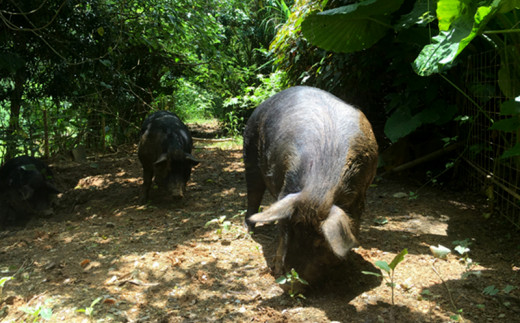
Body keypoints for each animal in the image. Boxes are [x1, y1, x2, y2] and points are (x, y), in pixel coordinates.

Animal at [242, 85, 380, 286]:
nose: (295, 281)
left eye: (321, 241)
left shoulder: (360, 196)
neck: (319, 191)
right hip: (250, 151)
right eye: (288, 228)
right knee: (253, 194)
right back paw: (248, 229)